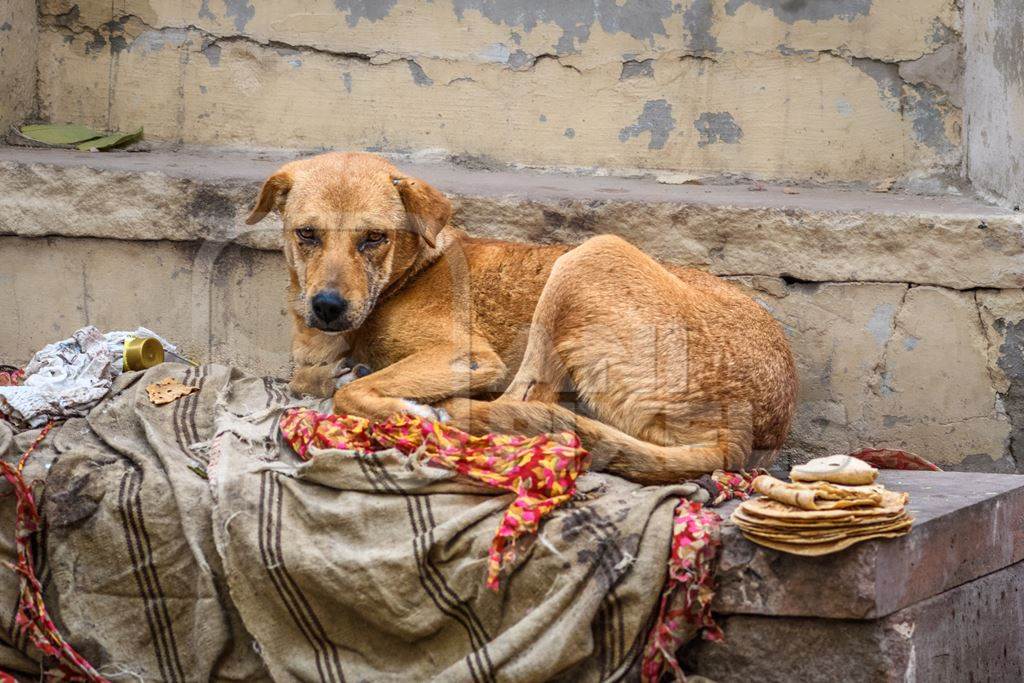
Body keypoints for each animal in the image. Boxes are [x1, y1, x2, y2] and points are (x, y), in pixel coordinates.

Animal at [247, 154, 798, 483]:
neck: (407, 274)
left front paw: (401, 407)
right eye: (307, 233)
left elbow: (350, 392)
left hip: (586, 259)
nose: (326, 307)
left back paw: (441, 415)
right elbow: (313, 377)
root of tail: (745, 435)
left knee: (521, 407)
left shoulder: (467, 356)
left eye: (374, 238)